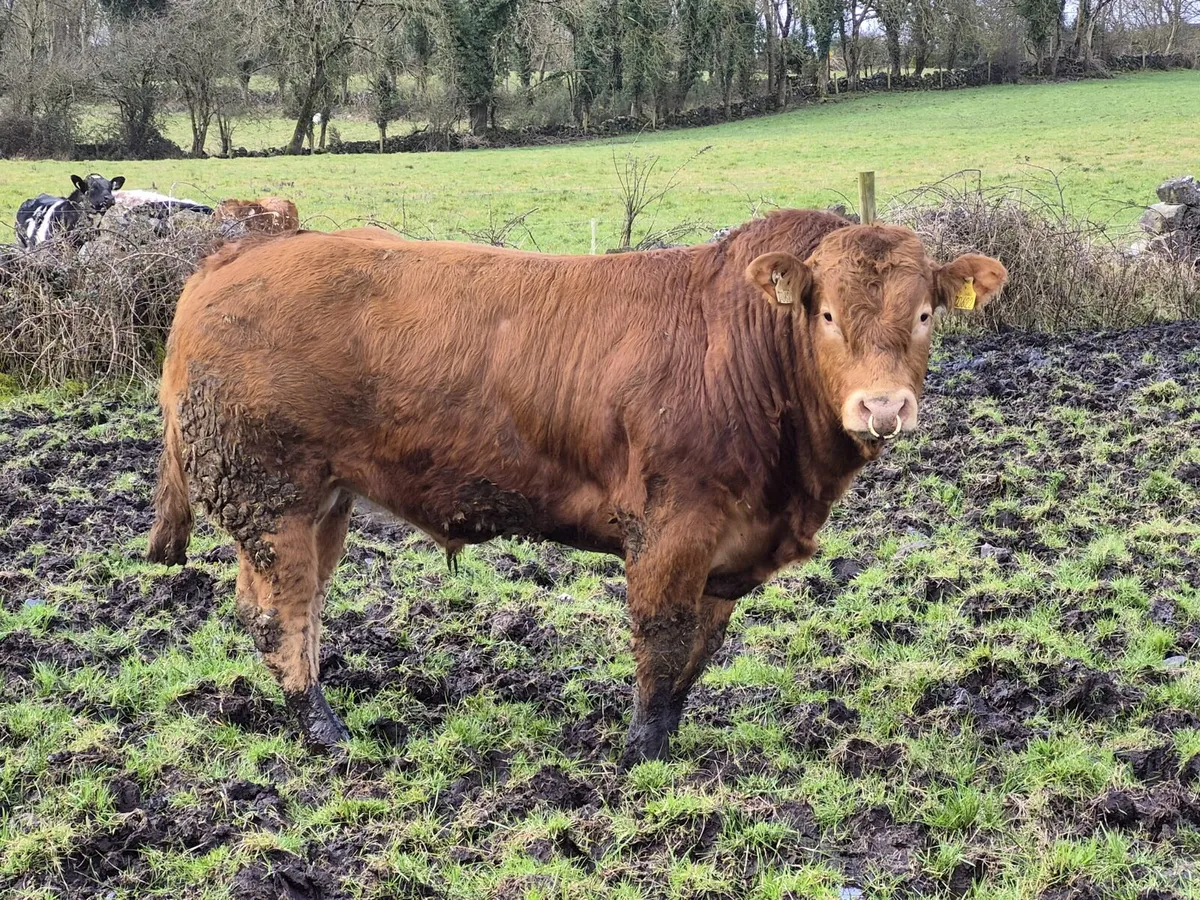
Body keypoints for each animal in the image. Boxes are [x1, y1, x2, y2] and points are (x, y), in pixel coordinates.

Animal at [147, 209, 1006, 763]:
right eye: (826, 315)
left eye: (925, 313)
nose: (882, 407)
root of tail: (238, 256)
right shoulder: (671, 527)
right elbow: (662, 642)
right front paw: (641, 754)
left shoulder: (729, 549)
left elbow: (698, 651)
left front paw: (669, 736)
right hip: (270, 494)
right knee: (279, 616)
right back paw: (324, 731)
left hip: (323, 499)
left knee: (295, 610)